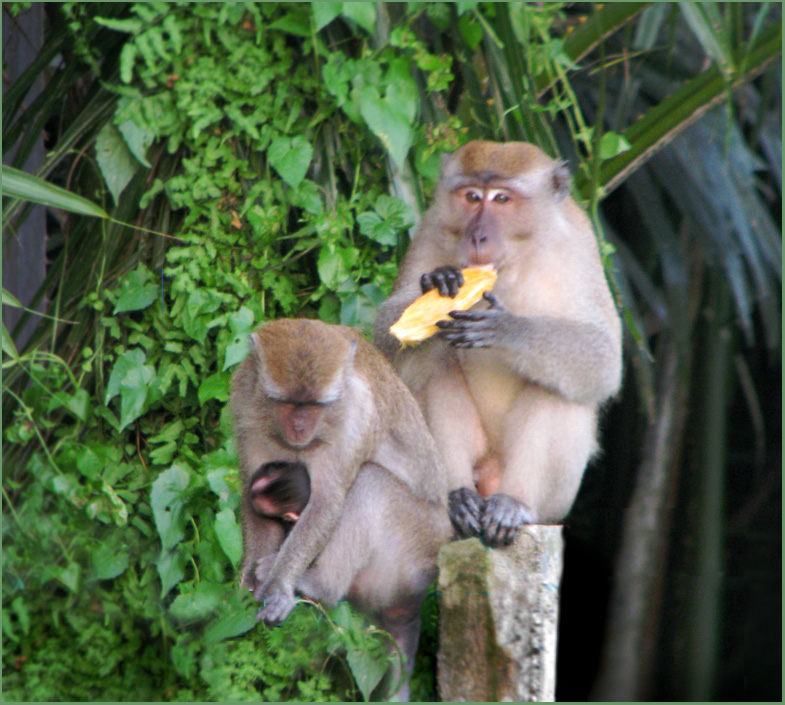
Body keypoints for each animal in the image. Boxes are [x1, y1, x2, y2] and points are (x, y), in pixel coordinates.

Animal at [230, 320, 450, 700]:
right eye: (288, 402)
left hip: (417, 548)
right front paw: (248, 581)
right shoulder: (246, 406)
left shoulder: (354, 419)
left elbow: (328, 501)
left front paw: (280, 586)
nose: (300, 427)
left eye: (315, 404)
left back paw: (319, 584)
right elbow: (252, 495)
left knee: (370, 483)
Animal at [370, 140, 620, 548]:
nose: (477, 236)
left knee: (559, 386)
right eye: (472, 197)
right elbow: (387, 336)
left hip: (556, 501)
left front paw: (508, 329)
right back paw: (457, 498)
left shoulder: (580, 244)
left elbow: (603, 357)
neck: (512, 262)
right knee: (431, 369)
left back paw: (513, 504)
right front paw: (437, 284)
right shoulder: (431, 227)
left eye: (502, 198)